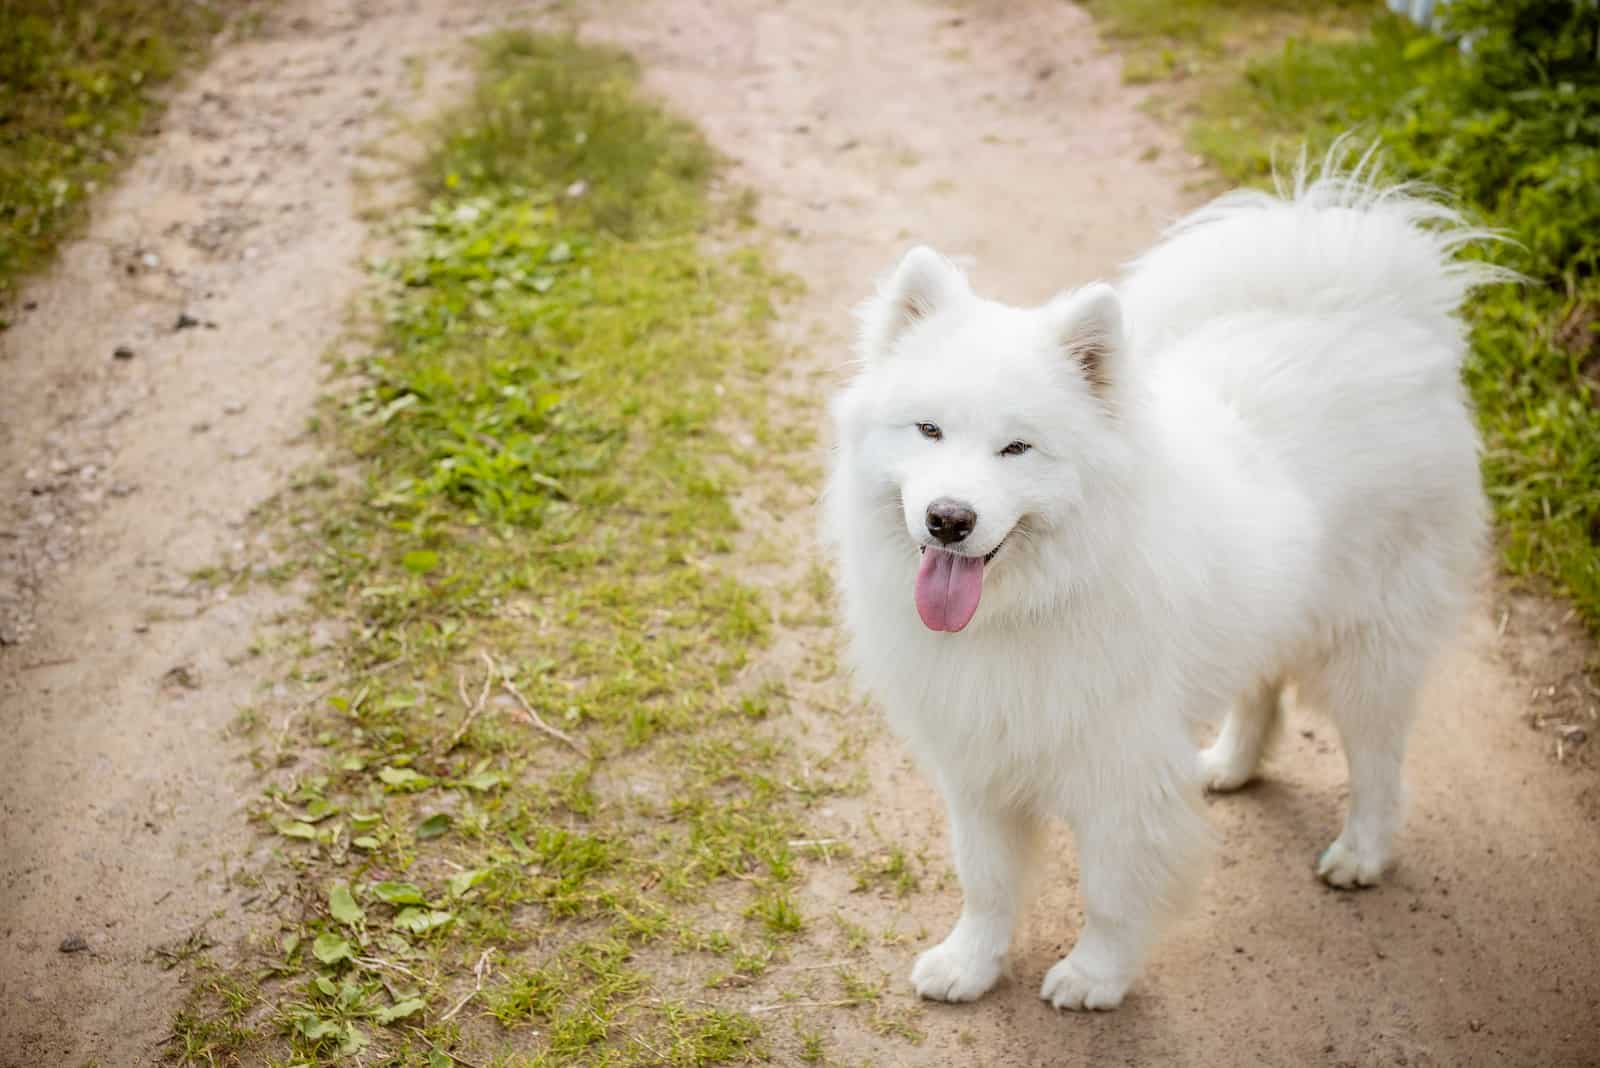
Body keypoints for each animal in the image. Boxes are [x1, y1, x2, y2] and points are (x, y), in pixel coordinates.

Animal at [819, 164, 1504, 1010]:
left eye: (1018, 449)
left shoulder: (1122, 769)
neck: (1035, 603)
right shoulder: (979, 764)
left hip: (1369, 644)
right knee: (1262, 689)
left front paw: (1094, 977)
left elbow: (1113, 889)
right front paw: (970, 964)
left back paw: (1360, 854)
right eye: (928, 430)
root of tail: (1375, 311)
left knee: (1378, 758)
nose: (949, 519)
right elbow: (986, 882)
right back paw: (1230, 765)